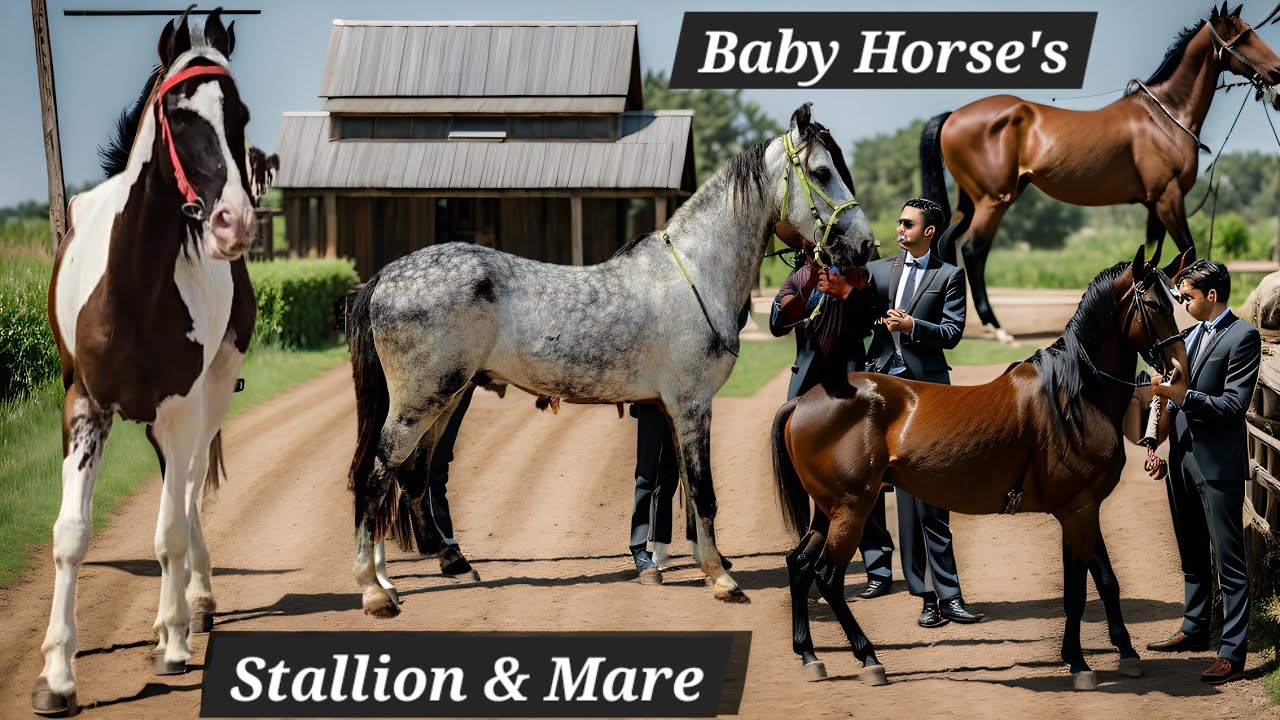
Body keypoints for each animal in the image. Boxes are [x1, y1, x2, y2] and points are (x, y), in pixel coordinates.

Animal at [33, 9, 256, 715]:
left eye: (240, 114)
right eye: (179, 117)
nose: (233, 223)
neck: (132, 284)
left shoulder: (181, 404)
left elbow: (170, 529)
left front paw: (175, 640)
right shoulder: (85, 403)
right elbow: (71, 534)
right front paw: (56, 675)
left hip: (209, 397)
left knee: (186, 493)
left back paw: (192, 608)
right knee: (178, 490)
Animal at [345, 103, 876, 617]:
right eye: (823, 171)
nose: (865, 246)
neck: (695, 275)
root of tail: (385, 278)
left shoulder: (669, 408)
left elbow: (678, 490)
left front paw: (695, 563)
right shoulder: (692, 405)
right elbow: (702, 492)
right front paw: (722, 580)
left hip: (445, 398)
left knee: (408, 475)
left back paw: (432, 568)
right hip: (420, 402)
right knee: (376, 478)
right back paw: (373, 591)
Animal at [772, 245, 1192, 689]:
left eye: (1176, 303)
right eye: (1154, 305)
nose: (1179, 370)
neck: (1074, 394)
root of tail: (803, 400)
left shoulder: (1079, 509)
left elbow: (1104, 583)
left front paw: (1123, 653)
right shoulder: (1079, 508)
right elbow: (1080, 591)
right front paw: (1080, 664)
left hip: (829, 510)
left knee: (799, 565)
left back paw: (810, 656)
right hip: (852, 510)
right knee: (827, 579)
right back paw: (868, 658)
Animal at [921, 2, 1280, 341]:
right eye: (1244, 36)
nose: (1276, 71)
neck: (1164, 117)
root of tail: (954, 115)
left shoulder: (1154, 206)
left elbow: (1153, 256)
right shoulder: (1168, 197)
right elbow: (1186, 252)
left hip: (970, 200)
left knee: (946, 241)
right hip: (993, 200)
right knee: (973, 249)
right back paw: (997, 329)